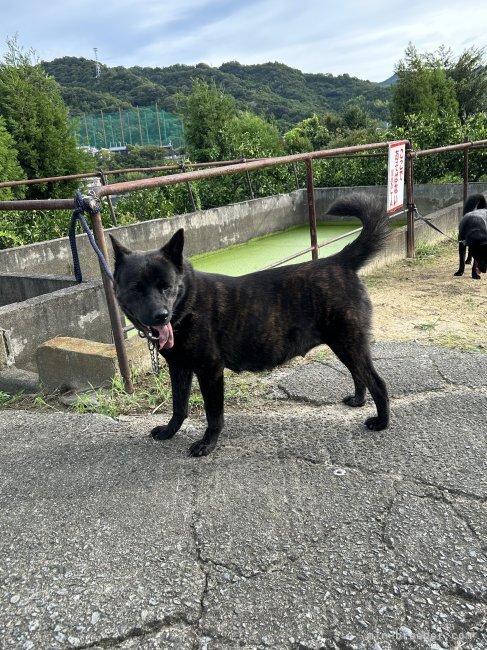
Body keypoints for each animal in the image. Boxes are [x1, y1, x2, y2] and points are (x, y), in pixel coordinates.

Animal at [111, 192, 392, 456]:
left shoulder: (210, 371)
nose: (161, 315)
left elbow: (213, 414)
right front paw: (170, 431)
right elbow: (179, 406)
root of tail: (339, 260)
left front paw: (207, 444)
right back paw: (358, 400)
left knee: (377, 382)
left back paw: (382, 422)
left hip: (349, 343)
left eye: (166, 286)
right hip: (345, 345)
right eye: (136, 288)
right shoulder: (180, 368)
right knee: (359, 376)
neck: (188, 303)